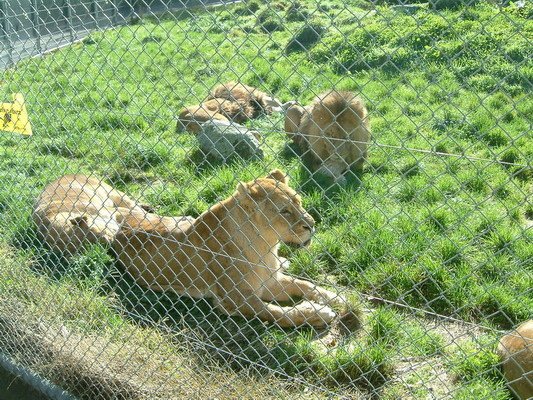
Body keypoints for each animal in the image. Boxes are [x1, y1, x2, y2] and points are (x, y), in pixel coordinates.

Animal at [113, 170, 344, 328]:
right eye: (284, 211)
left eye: (299, 202)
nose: (312, 225)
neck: (267, 246)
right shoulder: (234, 299)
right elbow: (279, 314)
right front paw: (318, 313)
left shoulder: (269, 282)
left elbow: (305, 285)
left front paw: (335, 297)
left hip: (183, 217)